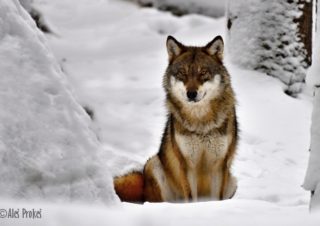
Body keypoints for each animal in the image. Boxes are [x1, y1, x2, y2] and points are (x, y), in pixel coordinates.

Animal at [114, 35, 238, 203]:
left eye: (203, 72)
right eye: (182, 73)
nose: (191, 94)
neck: (200, 122)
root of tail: (144, 188)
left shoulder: (219, 165)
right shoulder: (186, 164)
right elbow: (191, 198)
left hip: (232, 181)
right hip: (154, 164)